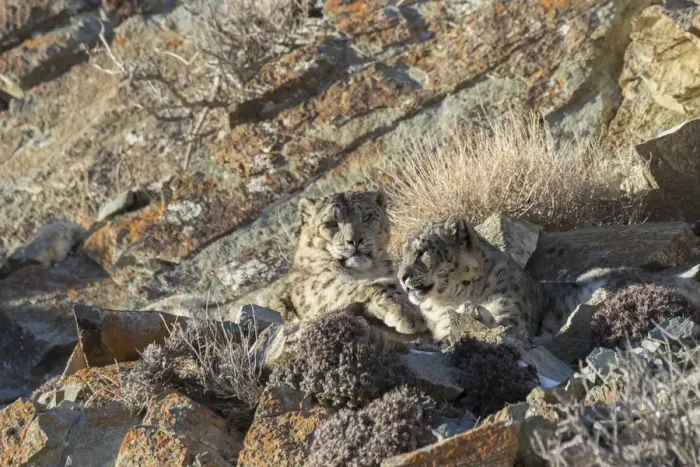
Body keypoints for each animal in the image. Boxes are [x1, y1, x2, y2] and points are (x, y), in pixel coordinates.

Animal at [244, 190, 425, 334]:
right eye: (331, 223)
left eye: (367, 217)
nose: (355, 240)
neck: (368, 270)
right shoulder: (320, 292)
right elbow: (373, 286)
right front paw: (408, 312)